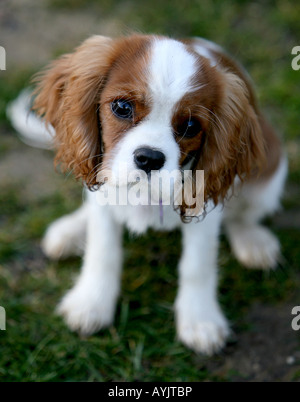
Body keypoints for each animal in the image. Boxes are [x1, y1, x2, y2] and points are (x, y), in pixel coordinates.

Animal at [8, 34, 286, 354]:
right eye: (121, 107)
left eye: (190, 126)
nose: (150, 159)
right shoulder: (105, 196)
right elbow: (102, 251)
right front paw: (92, 303)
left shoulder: (204, 210)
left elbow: (197, 264)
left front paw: (200, 320)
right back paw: (70, 231)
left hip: (271, 174)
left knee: (243, 216)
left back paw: (253, 242)